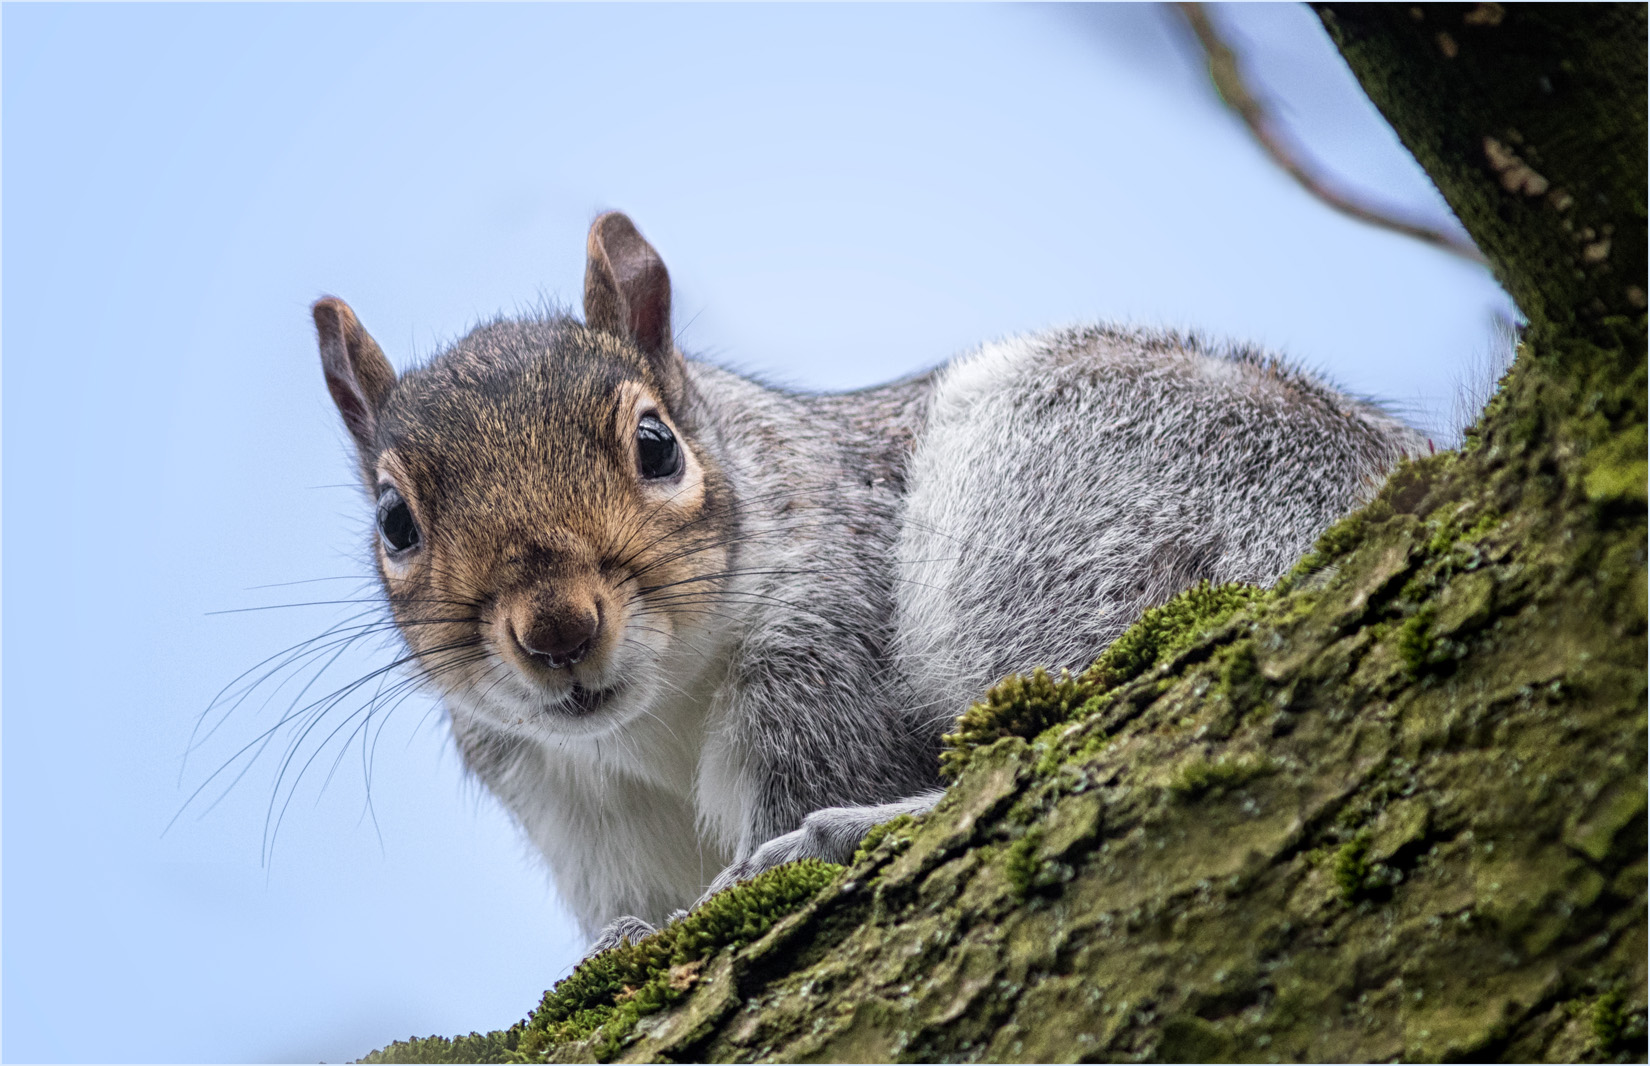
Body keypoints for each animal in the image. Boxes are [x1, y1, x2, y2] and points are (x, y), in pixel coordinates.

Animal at [312, 212, 1425, 951]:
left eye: (656, 445)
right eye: (394, 522)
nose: (557, 630)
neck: (657, 717)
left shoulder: (824, 674)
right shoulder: (572, 802)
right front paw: (617, 940)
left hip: (1065, 523)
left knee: (1074, 714)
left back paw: (844, 836)